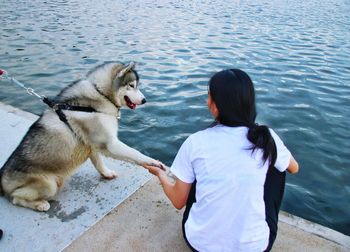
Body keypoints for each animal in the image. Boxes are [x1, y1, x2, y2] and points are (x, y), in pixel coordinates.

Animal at [0, 62, 161, 212]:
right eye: (131, 85)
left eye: (136, 86)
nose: (145, 100)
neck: (100, 95)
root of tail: (1, 178)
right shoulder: (111, 143)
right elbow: (134, 153)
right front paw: (153, 162)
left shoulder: (92, 145)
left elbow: (98, 163)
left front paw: (106, 173)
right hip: (48, 184)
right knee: (15, 198)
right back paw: (40, 204)